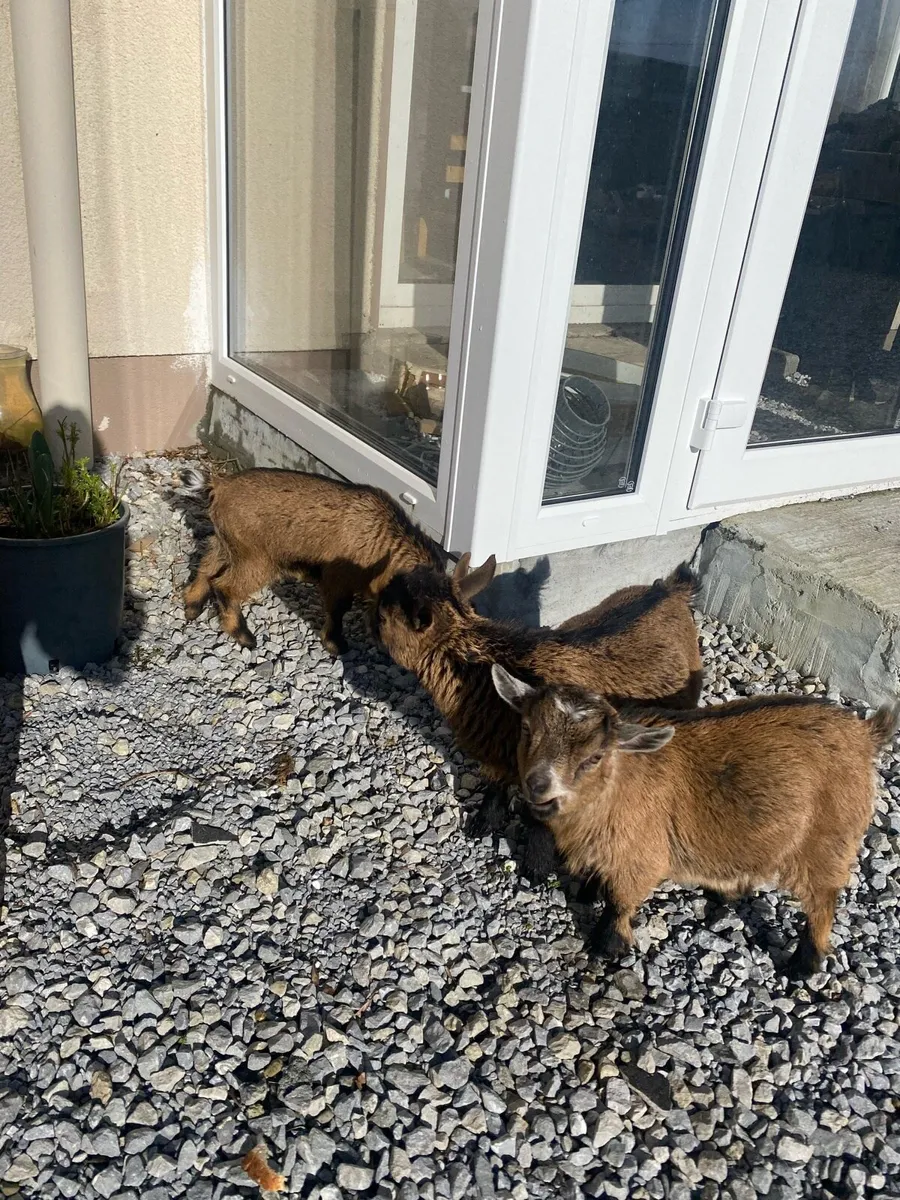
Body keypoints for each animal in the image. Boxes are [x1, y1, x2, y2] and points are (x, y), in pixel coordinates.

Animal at [179, 466, 496, 654]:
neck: (382, 540)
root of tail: (218, 485)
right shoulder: (338, 578)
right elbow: (338, 609)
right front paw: (336, 644)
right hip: (258, 557)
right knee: (226, 586)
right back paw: (244, 636)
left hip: (229, 543)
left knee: (206, 566)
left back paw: (192, 607)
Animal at [375, 560, 702, 882]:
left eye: (386, 615)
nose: (376, 594)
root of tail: (672, 589)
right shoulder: (497, 754)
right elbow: (494, 789)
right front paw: (482, 825)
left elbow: (540, 820)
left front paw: (536, 869)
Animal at [492, 665, 898, 978]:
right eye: (526, 728)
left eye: (593, 757)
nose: (537, 785)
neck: (615, 787)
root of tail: (865, 734)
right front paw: (587, 892)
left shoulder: (641, 858)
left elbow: (620, 902)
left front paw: (606, 947)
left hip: (828, 839)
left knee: (823, 900)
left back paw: (803, 965)